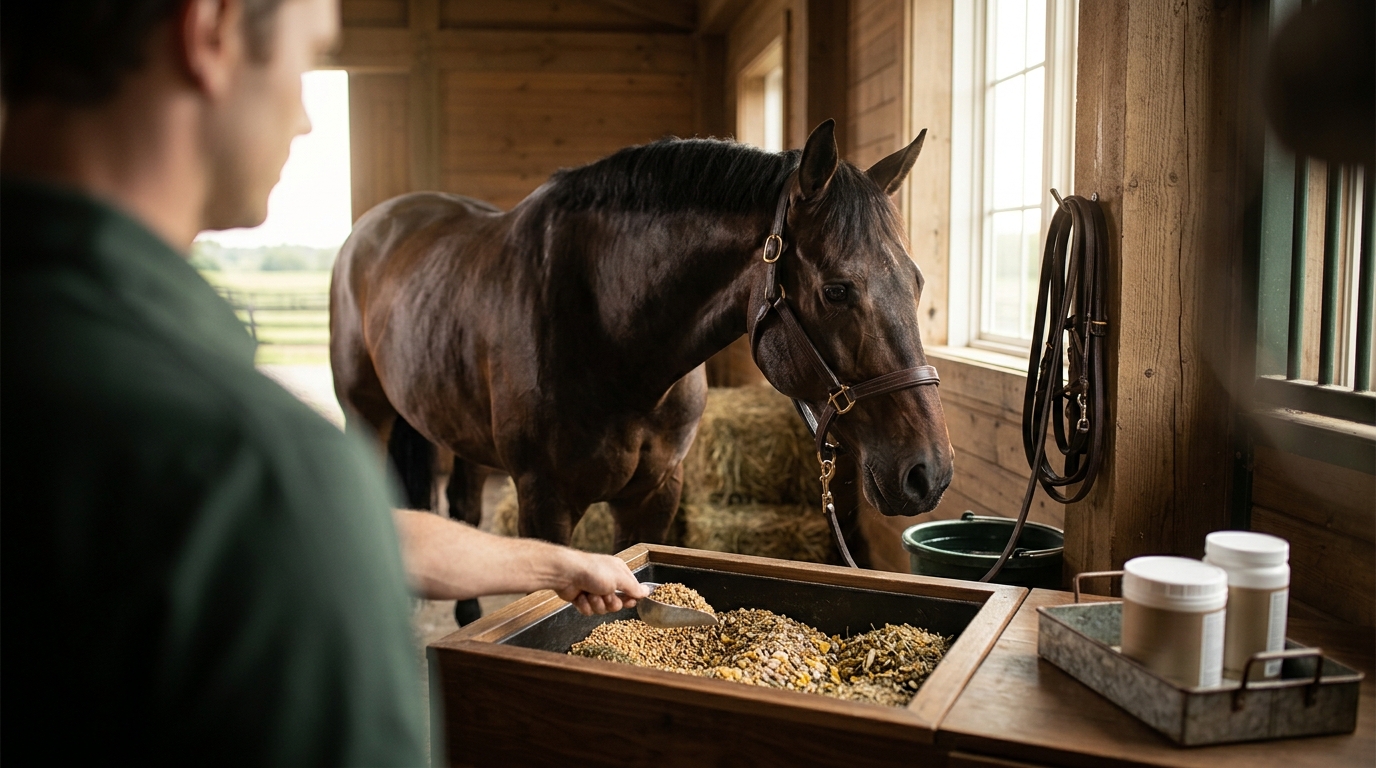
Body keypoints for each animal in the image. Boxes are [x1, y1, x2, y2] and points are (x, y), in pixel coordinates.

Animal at [330, 119, 953, 573]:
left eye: (918, 281)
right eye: (837, 290)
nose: (929, 473)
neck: (610, 337)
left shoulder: (653, 496)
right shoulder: (543, 502)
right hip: (368, 414)